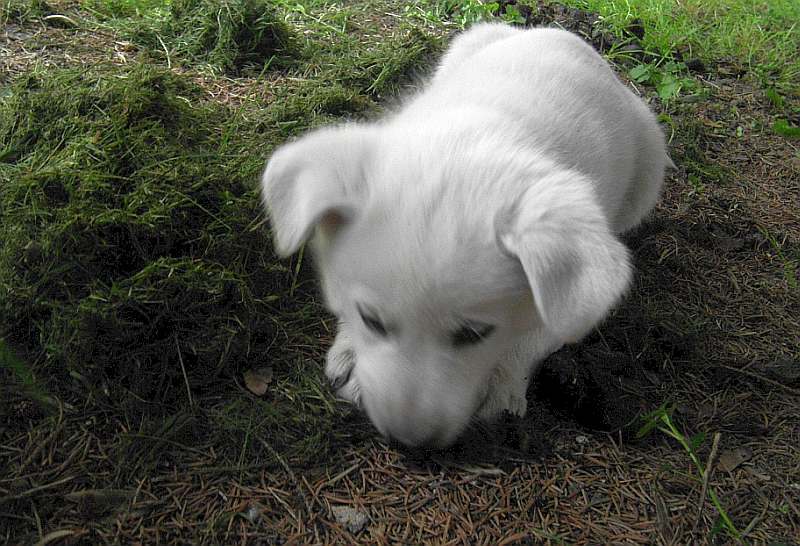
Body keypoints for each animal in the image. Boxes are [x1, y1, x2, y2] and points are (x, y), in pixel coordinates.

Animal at [260, 22, 668, 446]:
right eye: (371, 320)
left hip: (649, 163)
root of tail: (563, 34)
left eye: (475, 334)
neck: (467, 143)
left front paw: (502, 382)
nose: (409, 444)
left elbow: (532, 334)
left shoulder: (570, 305)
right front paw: (350, 353)